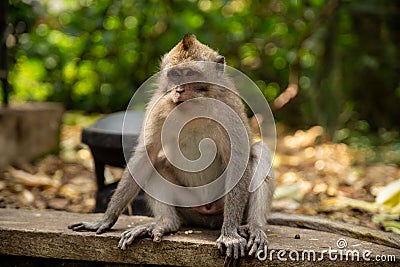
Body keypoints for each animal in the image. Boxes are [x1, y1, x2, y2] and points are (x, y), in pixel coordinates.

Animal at [69, 34, 276, 260]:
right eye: (175, 75)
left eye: (190, 74)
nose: (178, 90)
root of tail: (207, 215)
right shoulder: (159, 106)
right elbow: (146, 154)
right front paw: (105, 219)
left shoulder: (229, 106)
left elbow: (239, 158)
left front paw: (229, 234)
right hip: (188, 207)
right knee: (156, 163)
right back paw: (165, 223)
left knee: (259, 151)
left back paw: (254, 226)